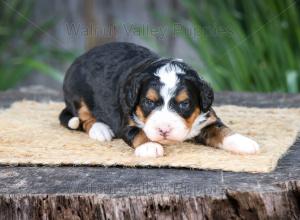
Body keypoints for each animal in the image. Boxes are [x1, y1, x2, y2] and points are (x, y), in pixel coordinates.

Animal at [59, 41, 260, 156]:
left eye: (184, 104)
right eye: (149, 102)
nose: (164, 130)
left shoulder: (207, 119)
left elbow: (222, 130)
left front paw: (244, 142)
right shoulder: (126, 123)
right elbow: (138, 132)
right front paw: (149, 147)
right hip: (77, 91)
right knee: (84, 117)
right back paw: (100, 130)